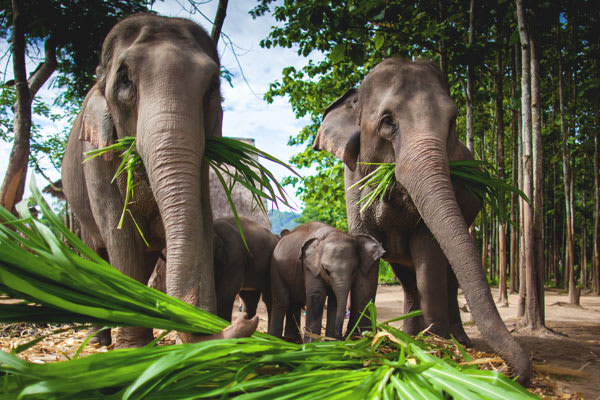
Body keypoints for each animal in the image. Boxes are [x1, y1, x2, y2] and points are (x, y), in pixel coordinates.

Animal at [62, 14, 256, 346]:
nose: (245, 320)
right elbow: (121, 233)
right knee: (97, 252)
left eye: (212, 86)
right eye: (125, 80)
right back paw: (100, 340)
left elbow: (201, 222)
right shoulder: (96, 156)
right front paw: (134, 348)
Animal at [312, 57, 532, 384]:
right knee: (406, 278)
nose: (511, 373)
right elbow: (366, 253)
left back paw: (455, 340)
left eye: (452, 122)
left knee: (447, 276)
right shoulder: (351, 180)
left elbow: (429, 257)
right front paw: (360, 340)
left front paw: (437, 346)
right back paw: (408, 334)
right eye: (387, 121)